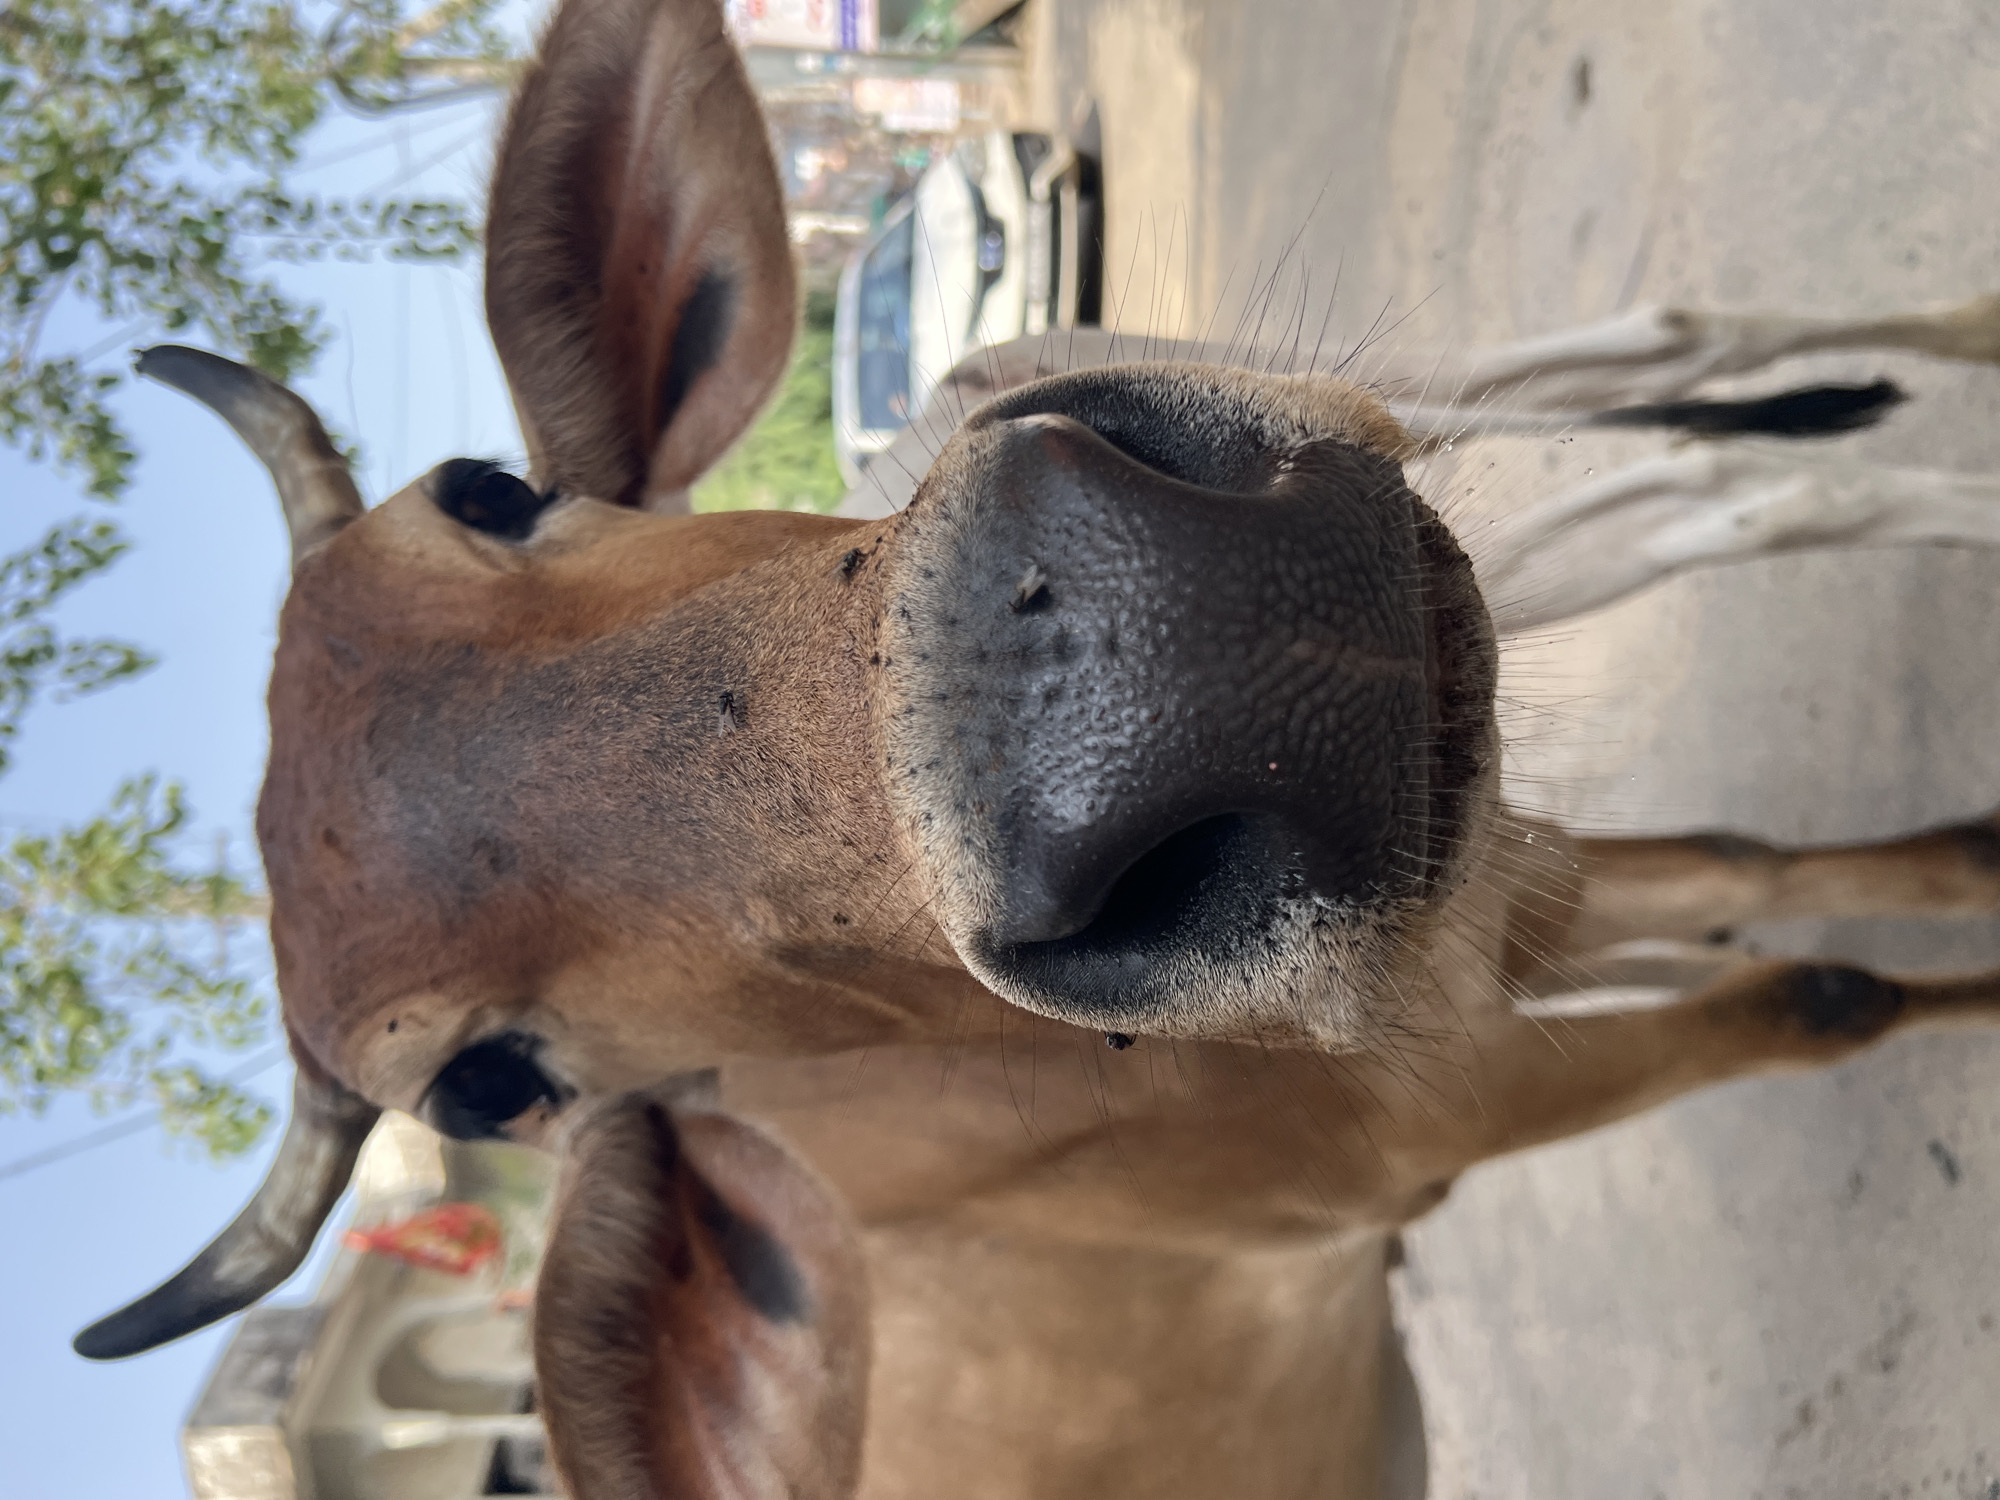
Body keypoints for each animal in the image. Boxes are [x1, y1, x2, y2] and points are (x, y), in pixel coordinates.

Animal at [69, 0, 2000, 1494]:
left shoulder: (1493, 889)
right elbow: (1812, 981)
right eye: (486, 1086)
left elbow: (1765, 874)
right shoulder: (1442, 1087)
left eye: (487, 490)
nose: (1139, 645)